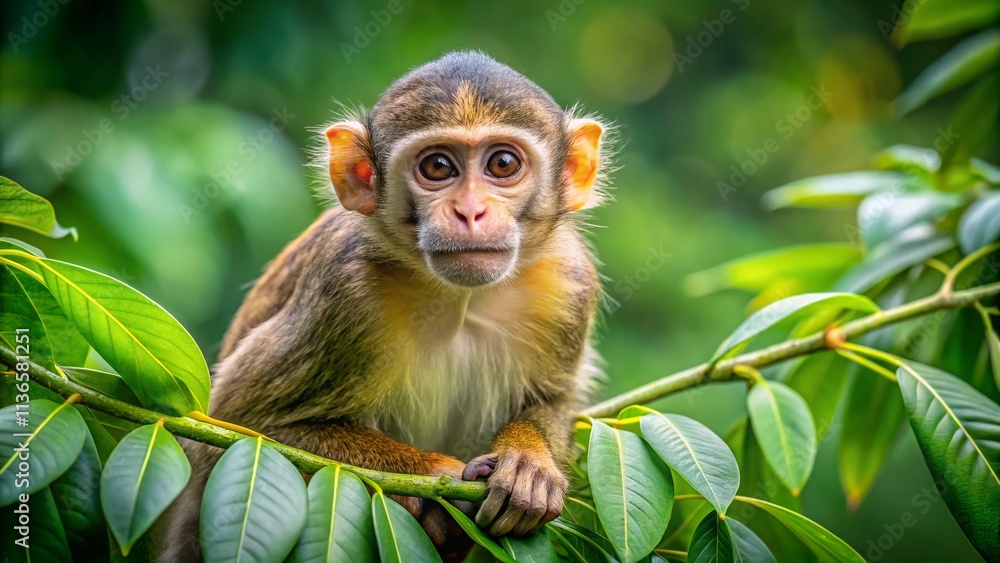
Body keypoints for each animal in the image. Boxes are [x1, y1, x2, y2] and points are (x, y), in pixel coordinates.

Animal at [161, 50, 611, 562]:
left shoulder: (569, 282)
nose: (470, 211)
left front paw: (528, 462)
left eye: (502, 163)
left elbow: (555, 398)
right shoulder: (346, 292)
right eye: (437, 167)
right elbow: (234, 425)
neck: (460, 300)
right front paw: (435, 473)